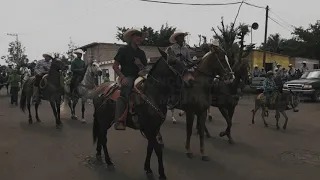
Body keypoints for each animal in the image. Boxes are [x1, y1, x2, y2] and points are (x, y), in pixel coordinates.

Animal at [91, 48, 194, 180]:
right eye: (173, 62)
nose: (191, 80)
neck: (153, 94)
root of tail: (98, 91)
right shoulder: (149, 129)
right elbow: (157, 149)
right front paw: (162, 174)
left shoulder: (154, 129)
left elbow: (150, 148)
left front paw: (148, 169)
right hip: (104, 121)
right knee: (103, 138)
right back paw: (108, 162)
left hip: (106, 122)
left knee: (100, 135)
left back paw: (99, 154)